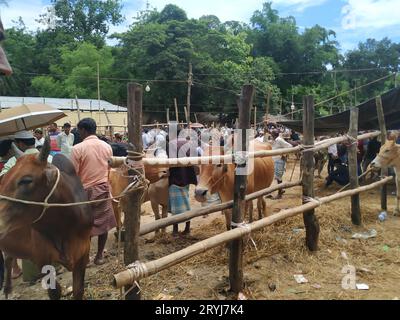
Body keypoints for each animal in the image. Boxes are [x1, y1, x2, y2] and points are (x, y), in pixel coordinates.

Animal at [0, 140, 93, 300]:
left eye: (26, 180)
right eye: (4, 179)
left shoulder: (83, 253)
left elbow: (78, 289)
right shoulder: (42, 259)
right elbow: (55, 292)